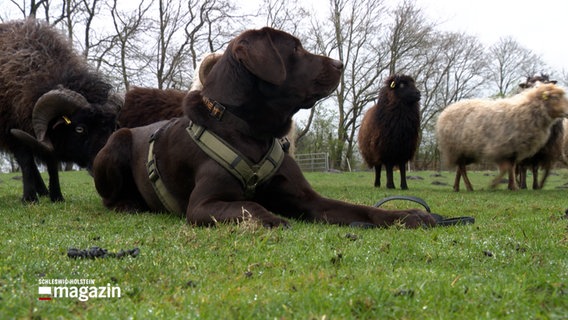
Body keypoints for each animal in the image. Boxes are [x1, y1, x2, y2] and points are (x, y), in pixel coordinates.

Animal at [93, 27, 434, 228]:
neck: (252, 131)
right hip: (116, 143)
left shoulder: (310, 200)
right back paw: (127, 204)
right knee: (108, 197)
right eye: (295, 49)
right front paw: (272, 217)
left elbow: (360, 209)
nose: (340, 64)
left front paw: (408, 215)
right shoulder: (203, 204)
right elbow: (250, 205)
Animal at [434, 84, 568, 191]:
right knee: (461, 168)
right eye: (555, 97)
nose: (567, 111)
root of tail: (445, 112)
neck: (528, 111)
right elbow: (506, 169)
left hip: (466, 151)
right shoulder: (500, 148)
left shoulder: (513, 150)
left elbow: (511, 168)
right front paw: (495, 185)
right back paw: (469, 187)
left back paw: (456, 187)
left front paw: (512, 186)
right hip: (457, 148)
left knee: (459, 168)